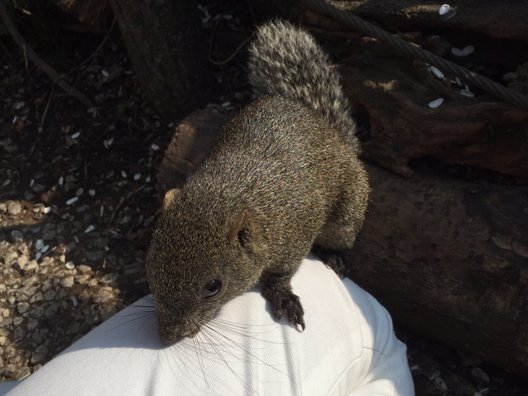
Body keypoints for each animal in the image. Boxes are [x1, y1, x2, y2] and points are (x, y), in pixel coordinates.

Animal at [144, 20, 368, 344]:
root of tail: (332, 133)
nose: (168, 336)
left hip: (348, 211)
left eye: (213, 286)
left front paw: (282, 296)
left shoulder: (298, 230)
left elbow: (282, 271)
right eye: (150, 265)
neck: (226, 192)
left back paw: (335, 257)